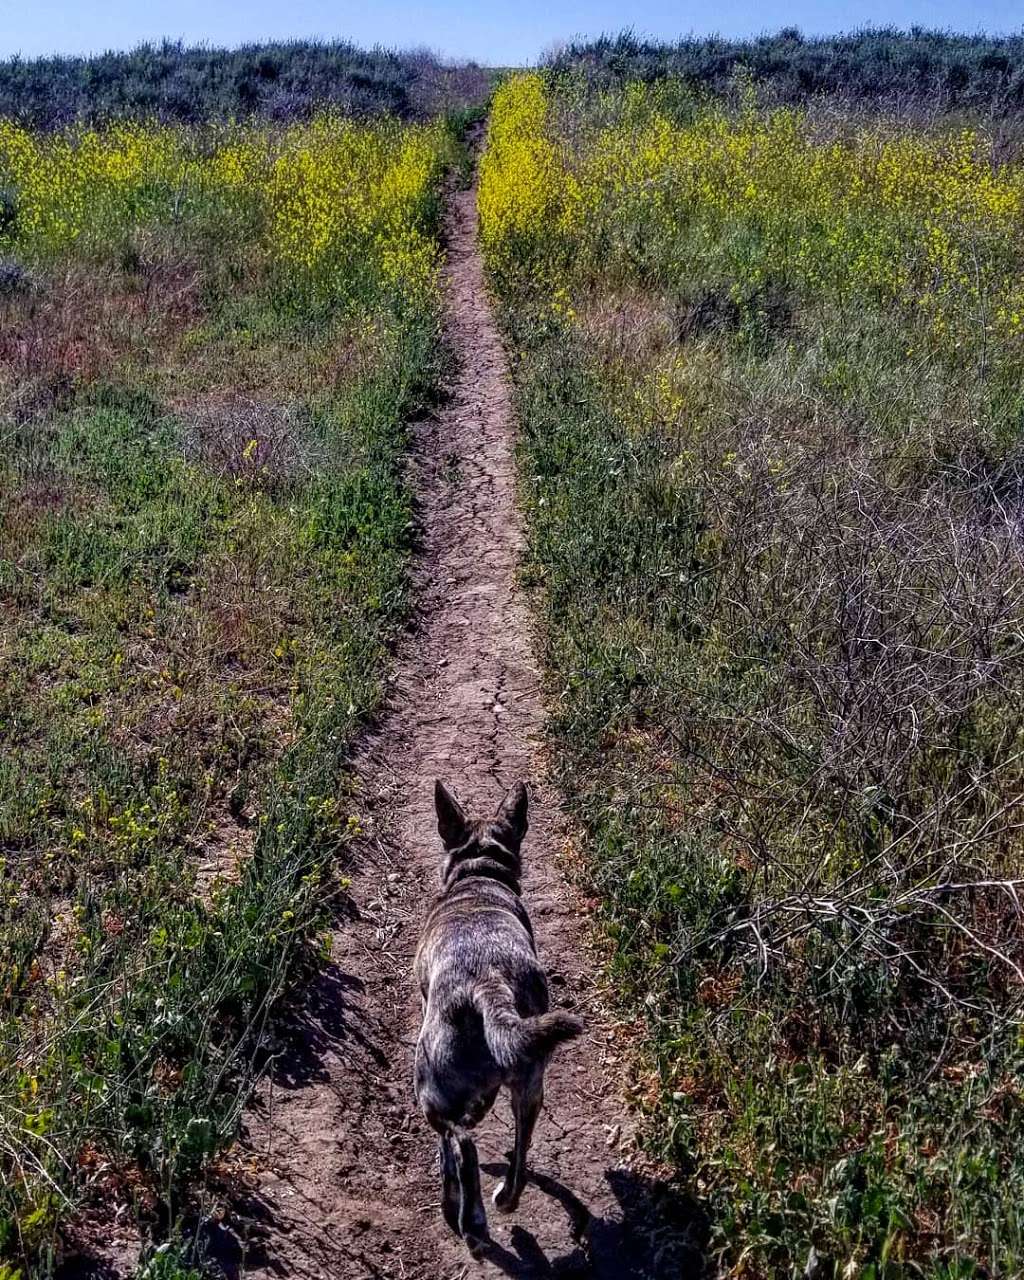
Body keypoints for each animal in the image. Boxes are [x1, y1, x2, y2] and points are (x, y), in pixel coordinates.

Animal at [409, 773, 583, 1254]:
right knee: (520, 1150)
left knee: (459, 1146)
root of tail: (488, 983)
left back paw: (467, 1217)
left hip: (430, 1085)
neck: (480, 876)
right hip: (530, 1085)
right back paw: (504, 1198)